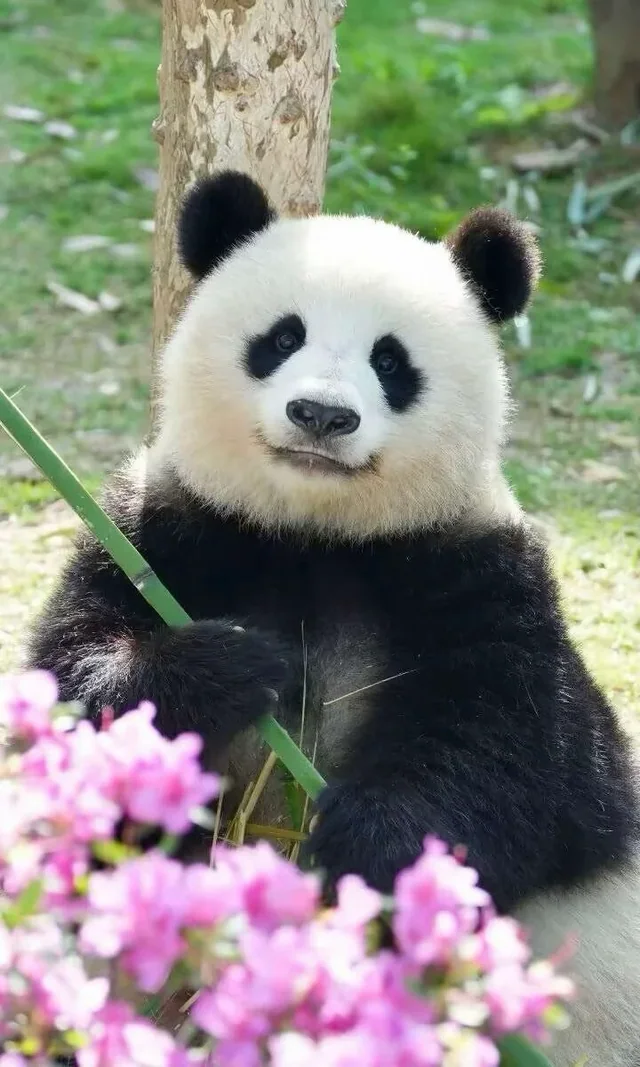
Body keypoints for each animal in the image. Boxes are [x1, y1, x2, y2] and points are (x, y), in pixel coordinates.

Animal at [27, 170, 640, 1066]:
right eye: (281, 337)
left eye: (392, 361)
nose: (321, 415)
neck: (314, 534)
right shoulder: (163, 529)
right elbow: (69, 684)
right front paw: (235, 666)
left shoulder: (481, 571)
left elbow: (518, 756)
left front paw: (372, 848)